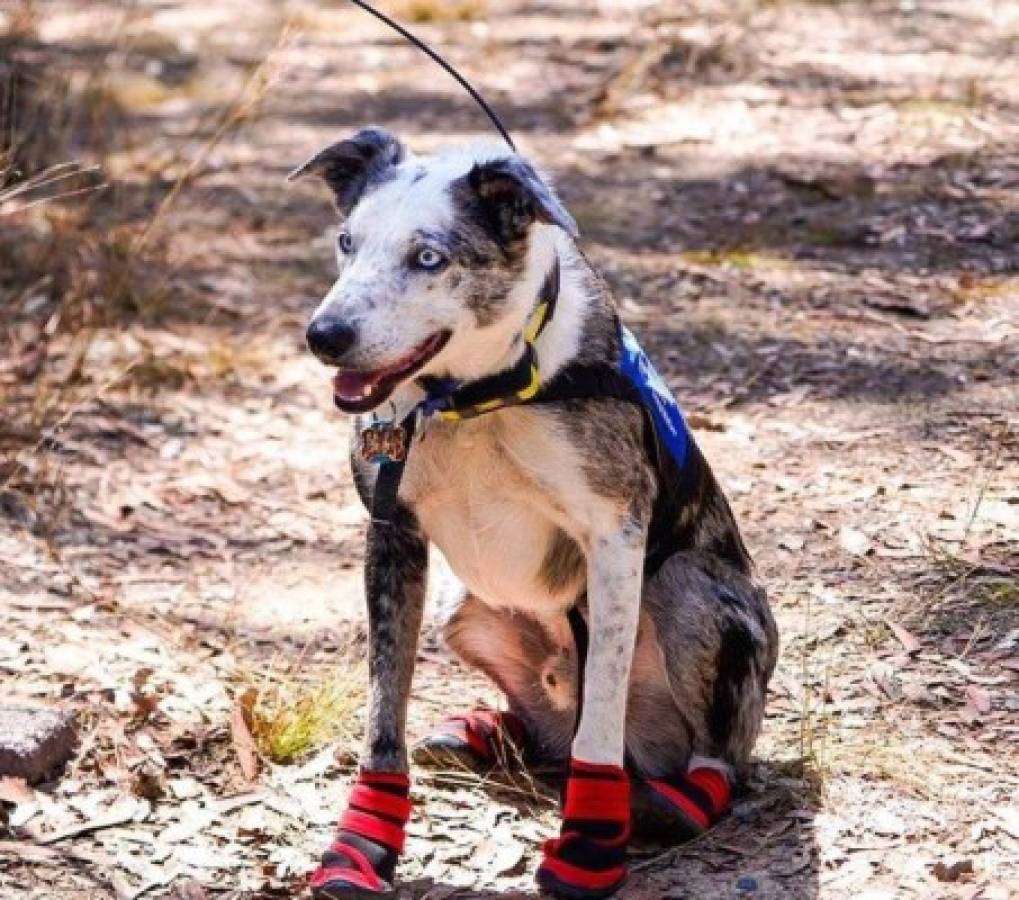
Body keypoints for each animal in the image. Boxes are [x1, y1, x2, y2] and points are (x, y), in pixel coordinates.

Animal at [289, 128, 778, 900]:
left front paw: (589, 843)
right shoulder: (392, 534)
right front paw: (361, 843)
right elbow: (382, 706)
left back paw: (673, 800)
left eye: (428, 257)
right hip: (458, 605)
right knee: (546, 729)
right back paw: (485, 732)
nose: (324, 335)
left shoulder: (615, 536)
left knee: (709, 754)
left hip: (689, 596)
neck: (473, 397)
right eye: (346, 241)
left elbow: (600, 708)